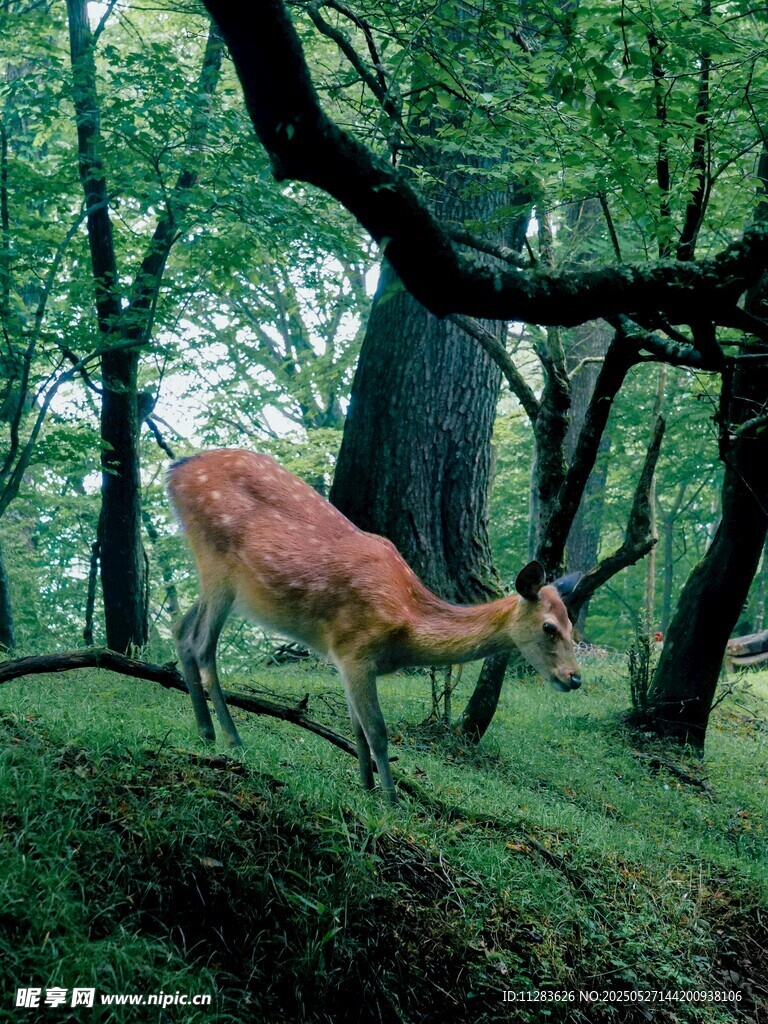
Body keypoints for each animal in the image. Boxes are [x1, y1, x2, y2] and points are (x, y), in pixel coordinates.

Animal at [168, 449, 582, 804]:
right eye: (549, 627)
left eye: (572, 625)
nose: (575, 678)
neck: (407, 630)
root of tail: (175, 472)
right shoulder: (355, 649)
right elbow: (378, 732)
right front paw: (391, 800)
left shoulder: (345, 659)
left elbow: (357, 730)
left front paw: (366, 788)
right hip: (219, 562)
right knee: (202, 644)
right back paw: (231, 737)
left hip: (212, 572)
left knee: (181, 631)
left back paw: (206, 731)